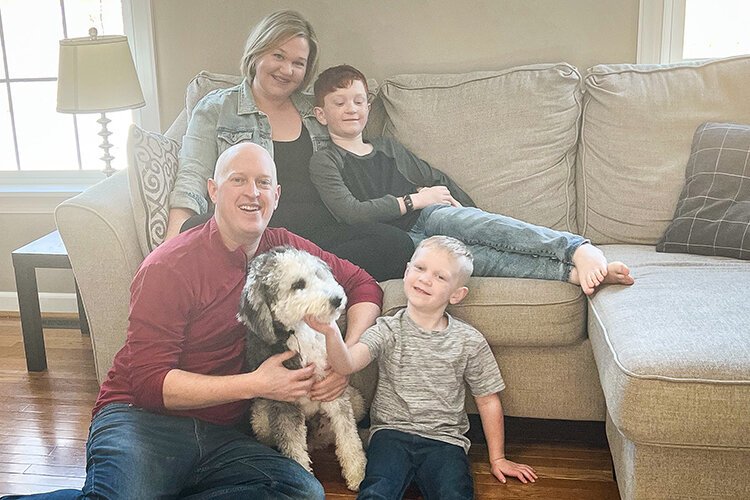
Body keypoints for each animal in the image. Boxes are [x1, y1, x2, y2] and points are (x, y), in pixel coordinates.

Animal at [239, 247, 368, 492]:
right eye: (298, 284)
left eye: (317, 273)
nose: (337, 299)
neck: (299, 332)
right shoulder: (284, 406)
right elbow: (294, 450)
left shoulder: (334, 394)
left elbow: (348, 437)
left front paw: (357, 473)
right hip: (260, 417)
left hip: (356, 400)